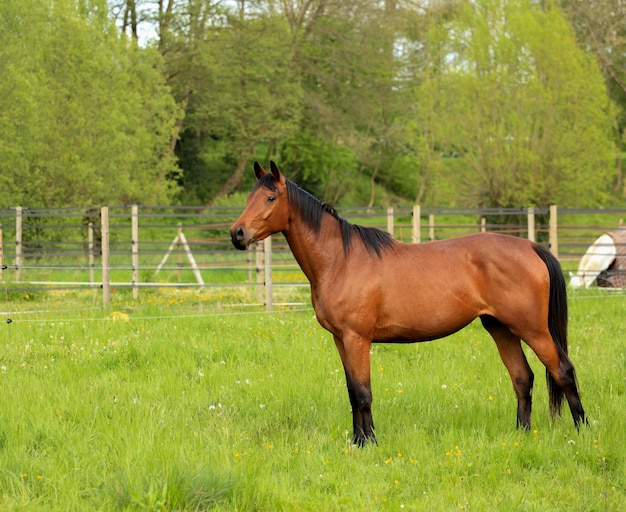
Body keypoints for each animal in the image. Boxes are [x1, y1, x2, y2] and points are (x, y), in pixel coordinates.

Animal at [229, 162, 584, 446]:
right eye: (248, 199)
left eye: (271, 198)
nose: (237, 234)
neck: (341, 260)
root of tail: (532, 247)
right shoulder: (340, 339)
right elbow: (352, 392)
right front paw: (357, 442)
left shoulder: (357, 338)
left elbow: (363, 393)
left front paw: (369, 444)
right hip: (501, 328)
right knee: (523, 378)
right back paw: (522, 435)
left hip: (532, 329)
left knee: (563, 371)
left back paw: (583, 431)